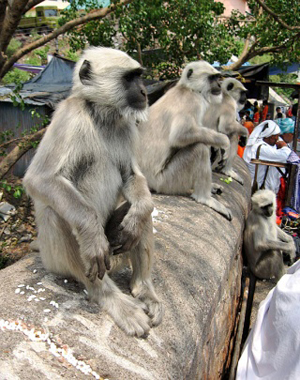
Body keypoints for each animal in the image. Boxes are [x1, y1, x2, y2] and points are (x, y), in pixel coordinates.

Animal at [23, 46, 163, 336]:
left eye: (139, 76)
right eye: (130, 78)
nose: (144, 92)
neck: (101, 116)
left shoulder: (126, 126)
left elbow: (132, 178)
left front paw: (138, 214)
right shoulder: (69, 115)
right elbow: (40, 179)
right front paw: (91, 234)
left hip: (116, 249)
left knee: (141, 213)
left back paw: (143, 289)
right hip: (58, 260)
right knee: (56, 214)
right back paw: (109, 297)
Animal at [137, 60, 232, 221]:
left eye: (217, 78)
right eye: (212, 78)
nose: (219, 85)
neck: (188, 89)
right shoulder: (193, 101)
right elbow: (181, 135)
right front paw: (224, 141)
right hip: (166, 182)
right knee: (199, 148)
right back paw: (204, 198)